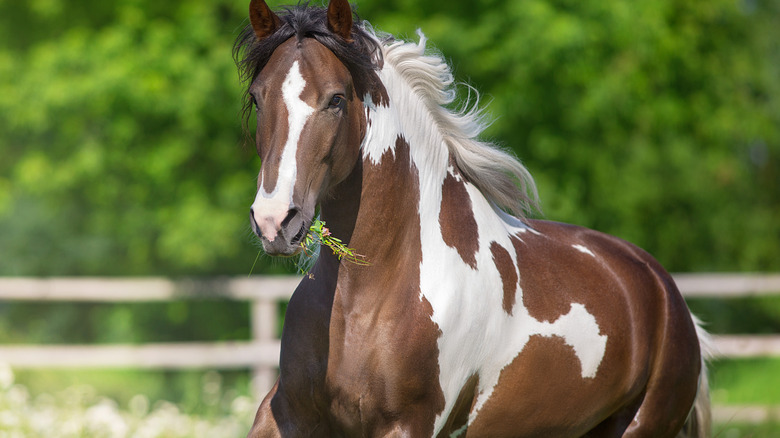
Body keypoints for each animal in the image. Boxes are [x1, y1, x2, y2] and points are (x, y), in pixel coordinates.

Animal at [233, 1, 712, 436]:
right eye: (258, 97)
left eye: (335, 99)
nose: (275, 221)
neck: (363, 300)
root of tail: (661, 286)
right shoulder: (286, 414)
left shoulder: (409, 424)